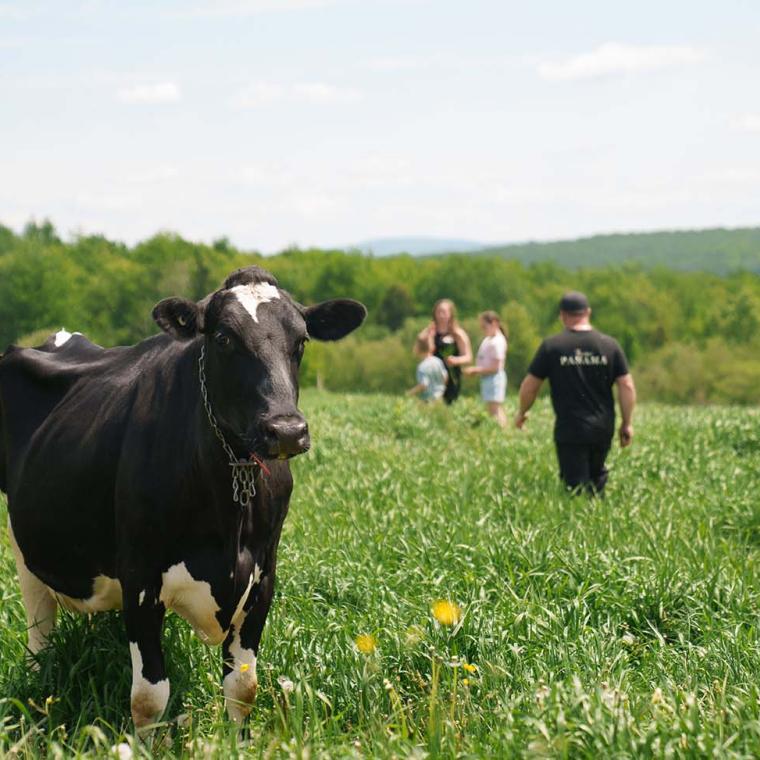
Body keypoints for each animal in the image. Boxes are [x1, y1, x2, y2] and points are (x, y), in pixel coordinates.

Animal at [0, 266, 368, 732]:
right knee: (39, 628)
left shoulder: (264, 572)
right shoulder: (140, 578)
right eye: (223, 338)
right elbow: (148, 698)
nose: (286, 430)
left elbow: (243, 687)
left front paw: (238, 740)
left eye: (301, 339)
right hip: (23, 542)